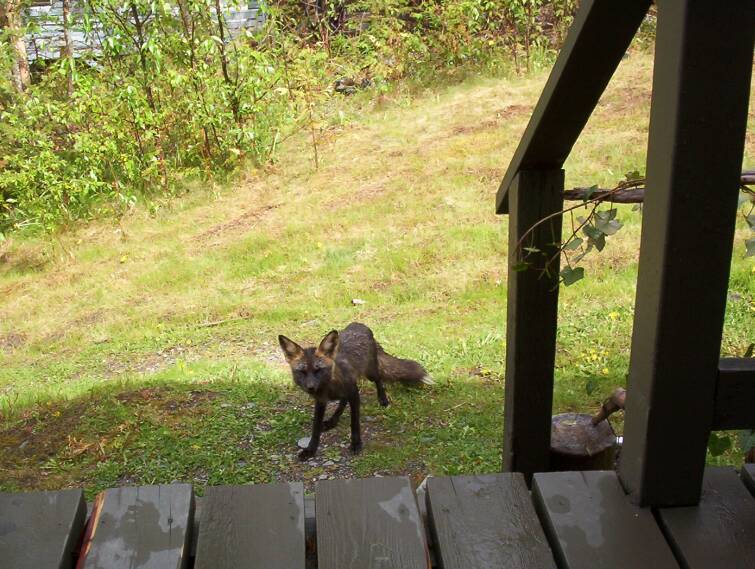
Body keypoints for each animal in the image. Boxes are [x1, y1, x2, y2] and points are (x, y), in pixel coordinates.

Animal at [280, 322, 434, 460]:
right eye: (302, 372)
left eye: (319, 370)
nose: (310, 387)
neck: (329, 387)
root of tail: (360, 325)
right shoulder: (321, 402)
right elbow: (315, 428)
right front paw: (310, 450)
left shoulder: (354, 394)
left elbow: (354, 423)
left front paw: (356, 444)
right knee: (343, 401)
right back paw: (332, 421)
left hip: (370, 373)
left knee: (379, 380)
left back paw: (383, 399)